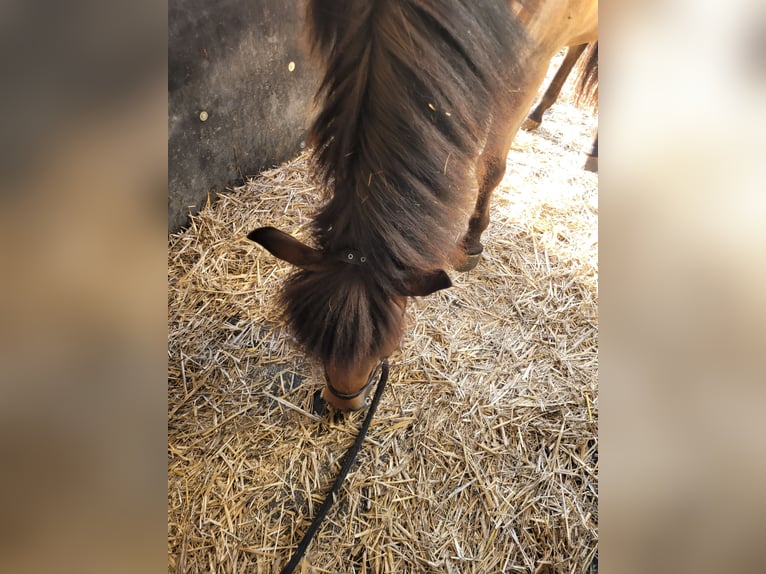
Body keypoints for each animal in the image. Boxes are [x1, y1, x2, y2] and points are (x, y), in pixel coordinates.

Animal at [250, 1, 600, 414]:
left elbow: (491, 165)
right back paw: (541, 112)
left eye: (385, 342)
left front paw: (471, 241)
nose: (343, 406)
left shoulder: (525, 67)